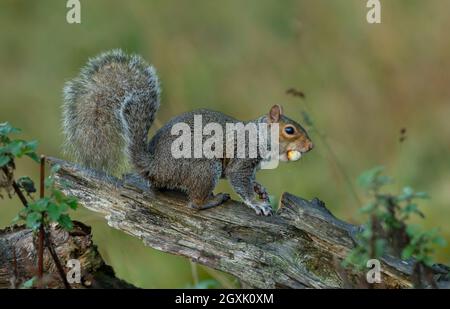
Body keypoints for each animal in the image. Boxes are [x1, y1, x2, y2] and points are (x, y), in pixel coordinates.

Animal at [62, 49, 312, 215]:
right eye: (290, 130)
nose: (310, 146)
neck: (259, 135)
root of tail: (155, 166)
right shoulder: (241, 159)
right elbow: (240, 181)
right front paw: (257, 203)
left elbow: (251, 180)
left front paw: (261, 189)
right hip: (204, 168)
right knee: (194, 204)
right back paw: (212, 200)